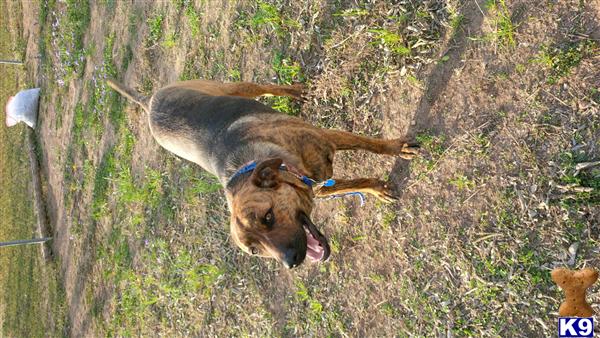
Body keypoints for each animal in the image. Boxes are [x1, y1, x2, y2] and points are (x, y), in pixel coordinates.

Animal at [106, 79, 418, 270]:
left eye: (268, 217)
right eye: (255, 251)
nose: (291, 262)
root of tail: (149, 102)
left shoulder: (327, 138)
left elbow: (371, 145)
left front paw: (396, 148)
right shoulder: (320, 185)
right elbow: (353, 183)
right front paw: (376, 188)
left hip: (229, 87)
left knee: (263, 87)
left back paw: (293, 91)